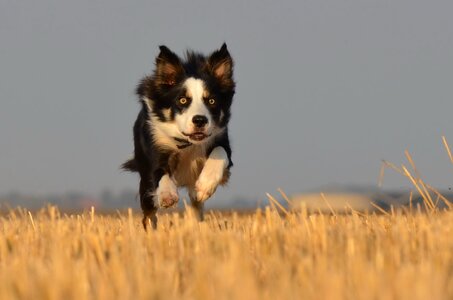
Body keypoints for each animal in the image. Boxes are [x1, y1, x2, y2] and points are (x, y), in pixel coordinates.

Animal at [122, 43, 235, 229]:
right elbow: (160, 172)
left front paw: (205, 185)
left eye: (211, 101)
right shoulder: (156, 145)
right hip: (145, 185)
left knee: (196, 207)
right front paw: (167, 194)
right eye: (182, 100)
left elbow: (220, 152)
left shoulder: (220, 138)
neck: (187, 142)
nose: (200, 120)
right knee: (149, 215)